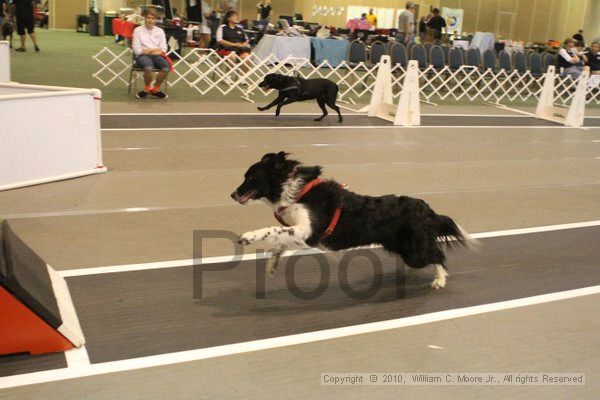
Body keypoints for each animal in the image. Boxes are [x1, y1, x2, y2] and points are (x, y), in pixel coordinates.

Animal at [229, 152, 474, 288]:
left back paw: (440, 280)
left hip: (415, 251)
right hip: (402, 248)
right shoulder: (299, 232)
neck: (295, 190)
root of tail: (427, 208)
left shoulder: (308, 231)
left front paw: (249, 236)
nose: (232, 195)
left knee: (438, 255)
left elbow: (272, 230)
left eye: (250, 177)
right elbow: (280, 242)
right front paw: (273, 263)